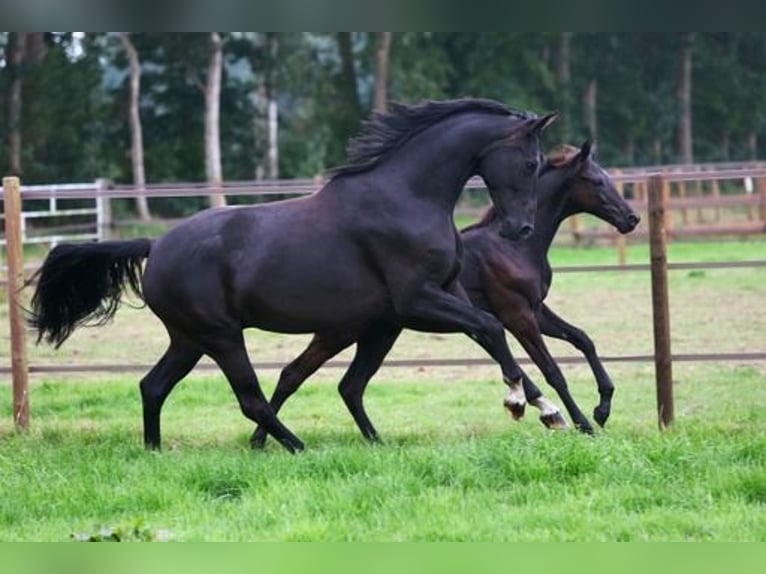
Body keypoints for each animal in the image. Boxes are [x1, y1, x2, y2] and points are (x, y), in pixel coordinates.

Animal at [30, 100, 560, 454]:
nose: (521, 229)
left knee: (153, 386)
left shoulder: (441, 296)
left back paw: (155, 452)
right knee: (250, 399)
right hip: (220, 336)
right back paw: (297, 448)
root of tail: (155, 246)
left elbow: (490, 334)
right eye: (531, 162)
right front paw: (522, 402)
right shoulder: (418, 302)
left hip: (188, 338)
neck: (407, 196)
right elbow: (491, 328)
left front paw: (545, 408)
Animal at [250, 142, 636, 448]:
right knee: (298, 375)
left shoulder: (536, 310)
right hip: (340, 332)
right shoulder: (516, 313)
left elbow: (582, 339)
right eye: (597, 181)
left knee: (323, 380)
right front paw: (582, 423)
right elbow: (551, 368)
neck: (513, 246)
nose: (631, 218)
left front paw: (602, 408)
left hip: (374, 333)